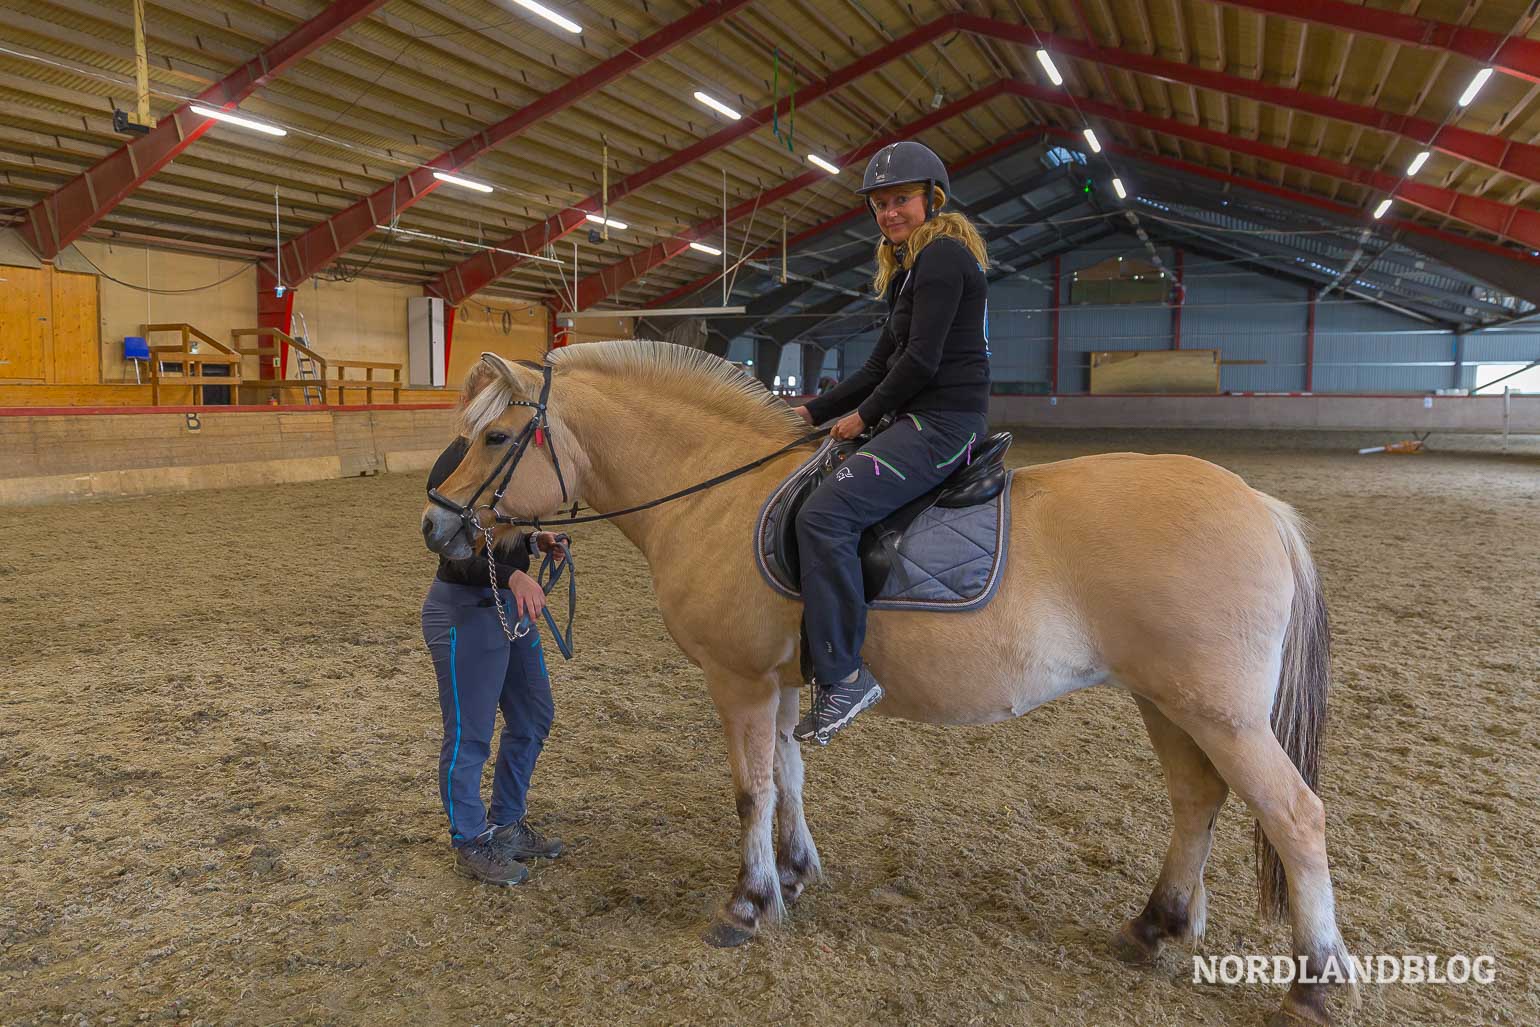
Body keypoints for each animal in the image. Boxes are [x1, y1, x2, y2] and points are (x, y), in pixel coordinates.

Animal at [421, 341, 1349, 1022]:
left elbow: (752, 788)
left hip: (1221, 712)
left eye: (497, 438)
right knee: (1197, 801)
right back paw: (1155, 925)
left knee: (1295, 816)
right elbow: (790, 773)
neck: (716, 493)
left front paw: (749, 902)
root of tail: (1260, 505)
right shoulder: (781, 679)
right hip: (1169, 702)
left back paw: (1315, 980)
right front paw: (795, 871)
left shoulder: (737, 679)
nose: (436, 525)